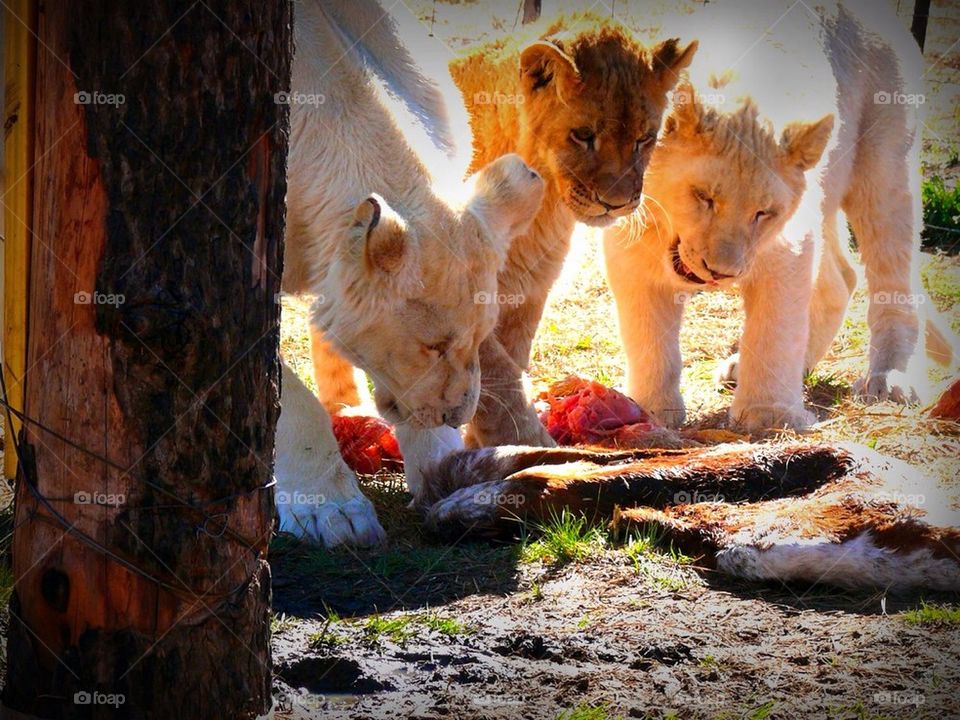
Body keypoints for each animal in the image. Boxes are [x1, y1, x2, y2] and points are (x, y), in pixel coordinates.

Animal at [448, 16, 697, 447]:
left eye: (644, 138)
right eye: (583, 135)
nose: (616, 202)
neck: (543, 206)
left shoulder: (526, 292)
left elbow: (509, 368)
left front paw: (485, 446)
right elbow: (497, 376)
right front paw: (528, 444)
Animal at [604, 1, 956, 432]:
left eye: (763, 212)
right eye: (704, 197)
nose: (720, 273)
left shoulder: (788, 241)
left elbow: (775, 328)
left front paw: (768, 414)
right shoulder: (629, 241)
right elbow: (648, 333)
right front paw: (650, 409)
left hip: (885, 169)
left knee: (892, 277)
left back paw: (888, 379)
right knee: (841, 278)